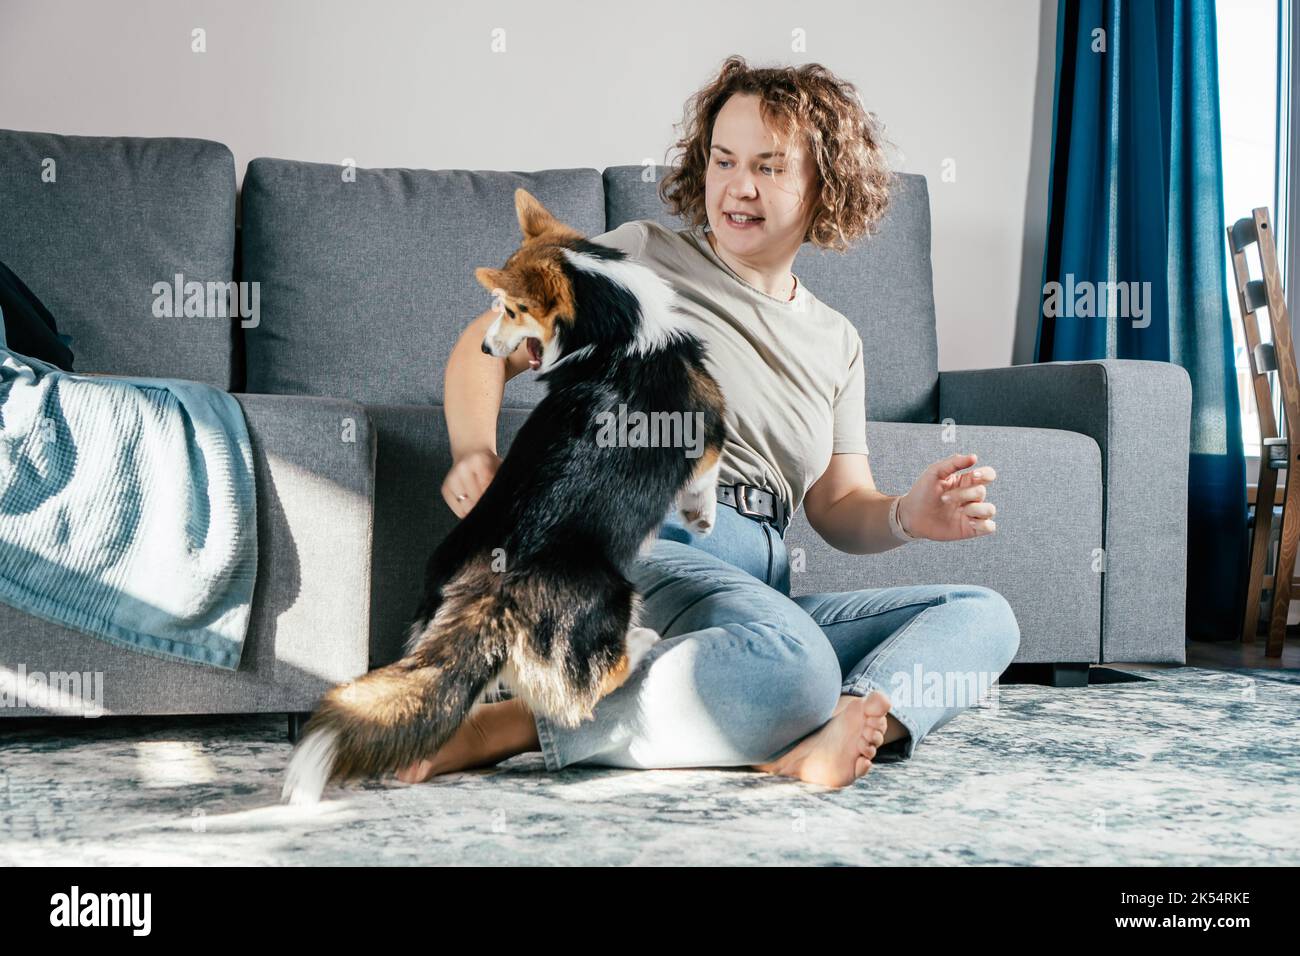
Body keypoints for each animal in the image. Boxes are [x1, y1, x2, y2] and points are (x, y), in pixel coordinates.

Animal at [283, 188, 728, 806]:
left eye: (512, 311)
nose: (487, 348)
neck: (616, 328)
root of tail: (491, 589)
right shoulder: (707, 422)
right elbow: (709, 470)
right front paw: (700, 515)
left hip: (437, 595)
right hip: (612, 594)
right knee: (585, 689)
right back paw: (640, 643)